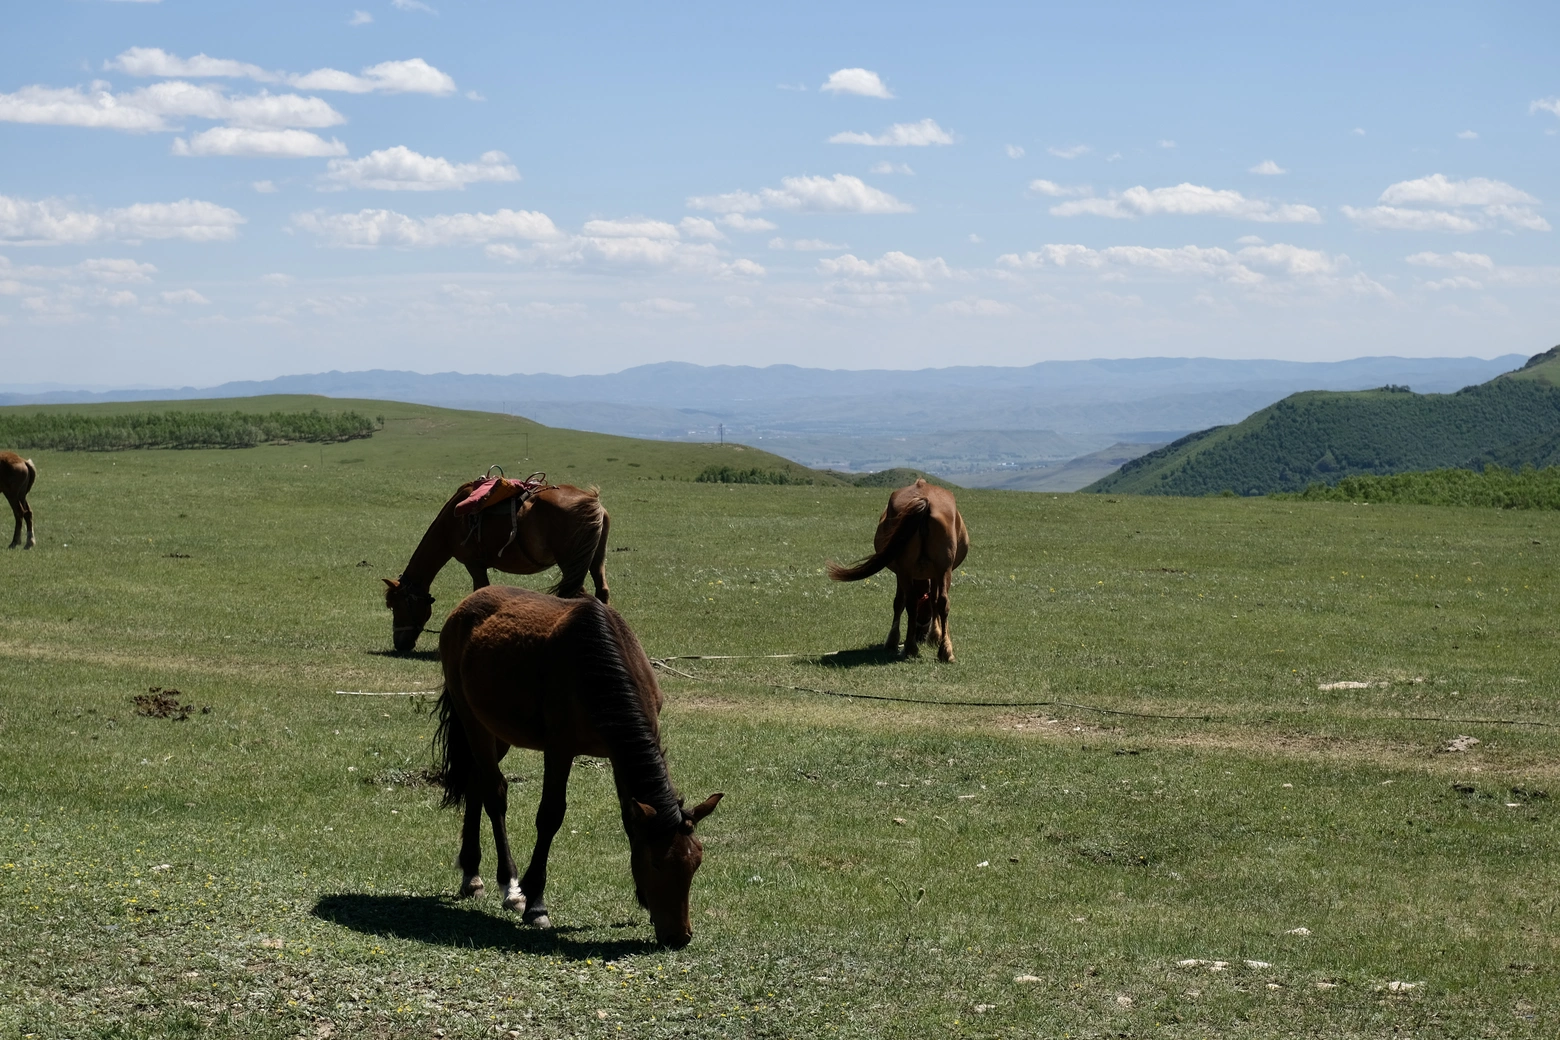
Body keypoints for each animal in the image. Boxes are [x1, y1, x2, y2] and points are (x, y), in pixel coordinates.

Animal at [383, 470, 608, 651]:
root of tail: (590, 499)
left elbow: (480, 591)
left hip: (570, 564)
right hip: (594, 562)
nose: (399, 644)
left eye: (397, 605)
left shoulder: (474, 564)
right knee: (601, 591)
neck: (450, 524)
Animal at [433, 586, 723, 954]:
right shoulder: (560, 749)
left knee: (476, 782)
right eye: (657, 863)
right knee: (494, 793)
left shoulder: (618, 752)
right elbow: (550, 816)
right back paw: (508, 885)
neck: (597, 667)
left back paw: (471, 873)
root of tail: (466, 604)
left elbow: (630, 818)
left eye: (696, 862)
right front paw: (536, 904)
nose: (679, 937)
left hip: (495, 729)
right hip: (472, 720)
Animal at [829, 477, 960, 657]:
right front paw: (935, 636)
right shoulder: (931, 573)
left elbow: (900, 602)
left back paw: (916, 647)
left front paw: (894, 640)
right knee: (938, 602)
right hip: (938, 569)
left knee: (915, 601)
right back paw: (938, 650)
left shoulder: (905, 573)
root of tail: (925, 499)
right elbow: (929, 601)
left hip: (911, 570)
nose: (920, 636)